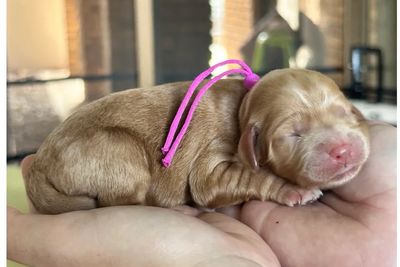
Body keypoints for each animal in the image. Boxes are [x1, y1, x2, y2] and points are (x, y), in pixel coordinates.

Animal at [24, 69, 368, 216]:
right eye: (293, 134)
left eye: (345, 112)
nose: (343, 150)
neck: (243, 107)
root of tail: (38, 163)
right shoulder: (212, 165)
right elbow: (248, 176)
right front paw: (293, 190)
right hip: (118, 147)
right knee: (117, 199)